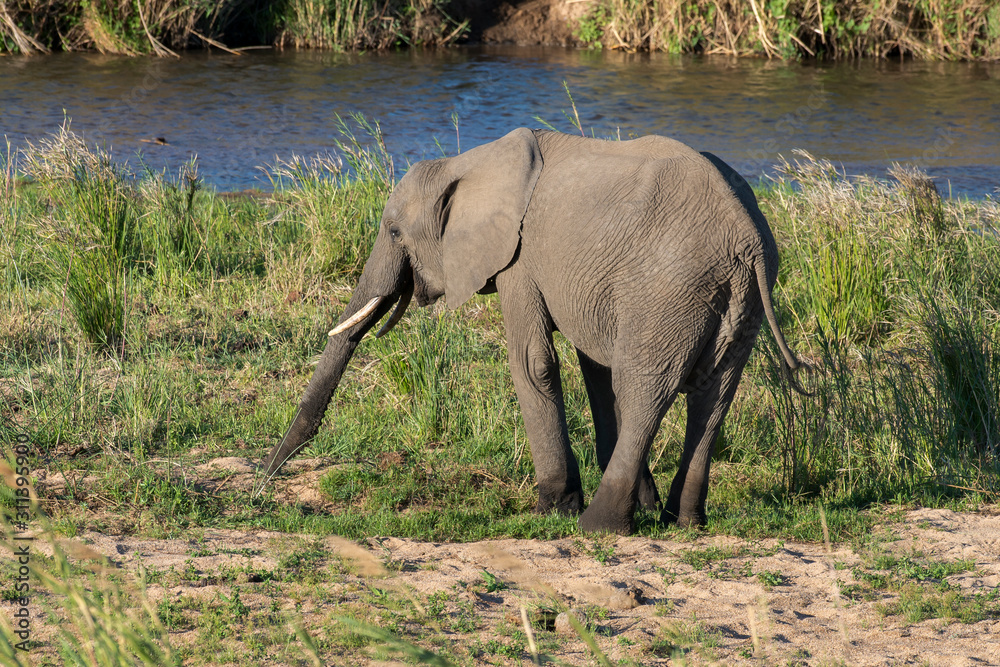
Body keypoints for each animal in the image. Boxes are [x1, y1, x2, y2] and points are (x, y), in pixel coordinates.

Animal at [259, 127, 804, 534]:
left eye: (394, 232)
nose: (265, 480)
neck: (468, 163)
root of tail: (747, 238)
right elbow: (597, 371)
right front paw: (643, 504)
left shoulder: (518, 258)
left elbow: (534, 361)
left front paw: (552, 507)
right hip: (738, 299)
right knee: (713, 398)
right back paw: (683, 520)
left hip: (671, 289)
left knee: (647, 388)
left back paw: (597, 525)